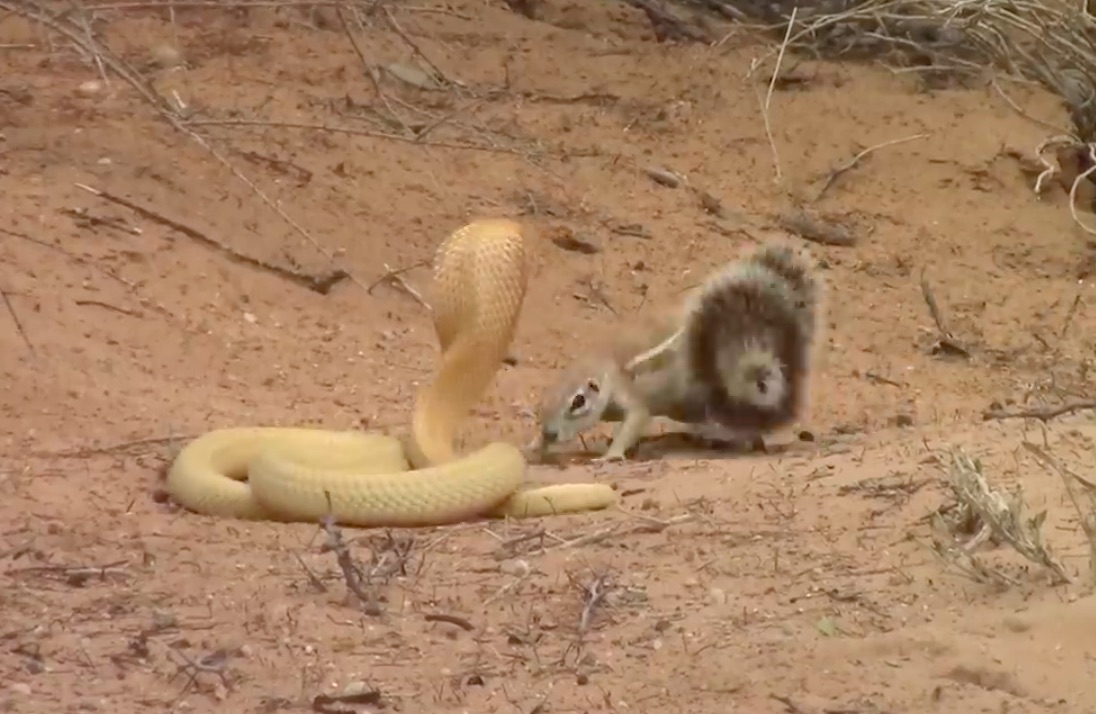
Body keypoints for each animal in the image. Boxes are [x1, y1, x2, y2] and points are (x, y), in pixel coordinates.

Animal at [535, 239, 823, 462]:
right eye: (544, 399)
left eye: (578, 401)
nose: (549, 433)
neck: (604, 366)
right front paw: (535, 446)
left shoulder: (631, 397)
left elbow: (635, 420)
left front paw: (611, 455)